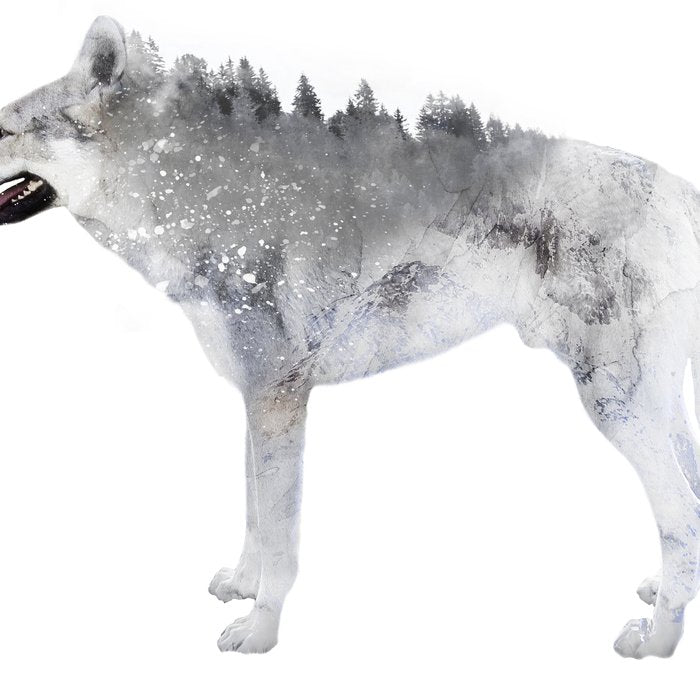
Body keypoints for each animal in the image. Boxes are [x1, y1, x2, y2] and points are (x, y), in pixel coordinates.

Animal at [1, 16, 700, 658]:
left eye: (5, 130)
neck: (196, 196)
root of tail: (682, 190)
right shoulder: (255, 402)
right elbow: (253, 517)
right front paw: (244, 585)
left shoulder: (278, 401)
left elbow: (281, 542)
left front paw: (260, 634)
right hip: (658, 410)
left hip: (615, 408)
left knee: (683, 520)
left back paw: (658, 642)